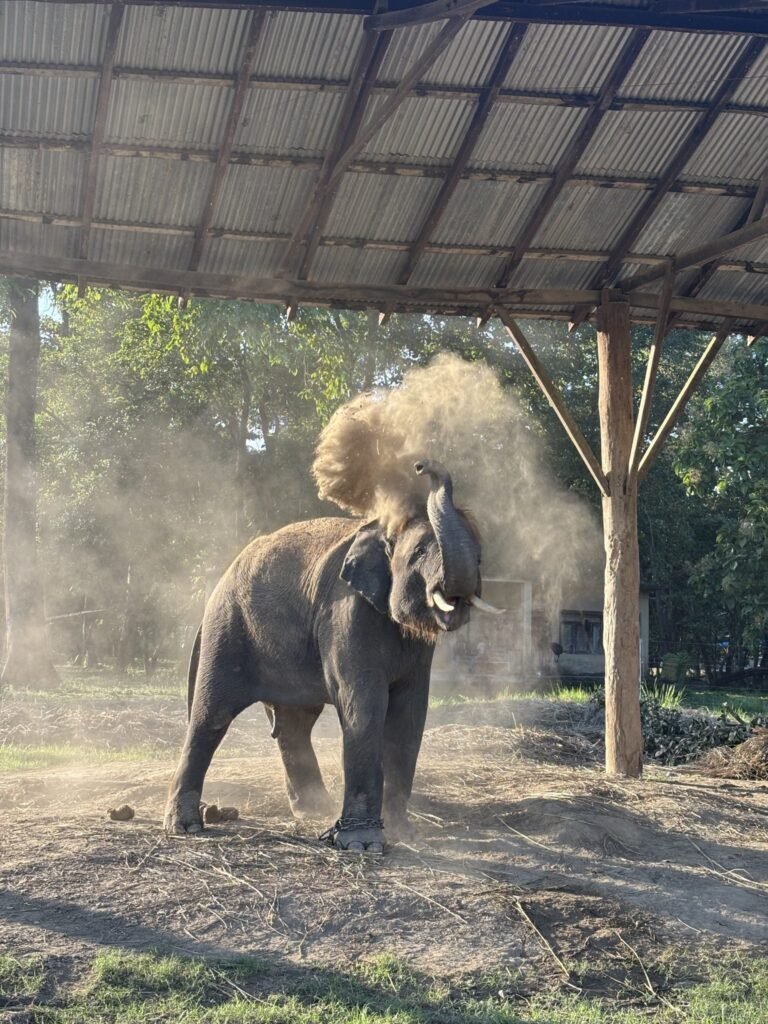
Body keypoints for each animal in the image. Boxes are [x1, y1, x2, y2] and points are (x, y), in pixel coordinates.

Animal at [164, 459, 501, 853]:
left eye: (480, 557)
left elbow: (410, 713)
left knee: (295, 724)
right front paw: (362, 846)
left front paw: (403, 833)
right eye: (418, 553)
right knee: (211, 716)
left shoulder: (416, 648)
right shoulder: (346, 612)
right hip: (228, 627)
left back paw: (313, 811)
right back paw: (186, 827)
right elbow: (364, 704)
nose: (421, 465)